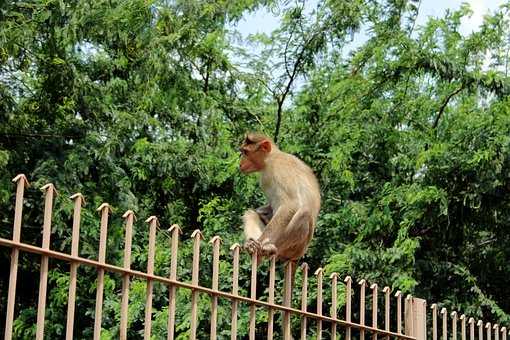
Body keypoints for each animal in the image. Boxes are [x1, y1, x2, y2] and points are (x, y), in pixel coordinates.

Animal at [238, 131, 318, 262]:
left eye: (246, 152)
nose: (240, 163)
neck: (271, 158)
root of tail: (300, 254)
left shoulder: (279, 169)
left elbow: (290, 205)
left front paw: (260, 242)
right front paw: (261, 212)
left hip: (295, 248)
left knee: (304, 214)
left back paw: (269, 248)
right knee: (251, 214)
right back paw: (252, 244)